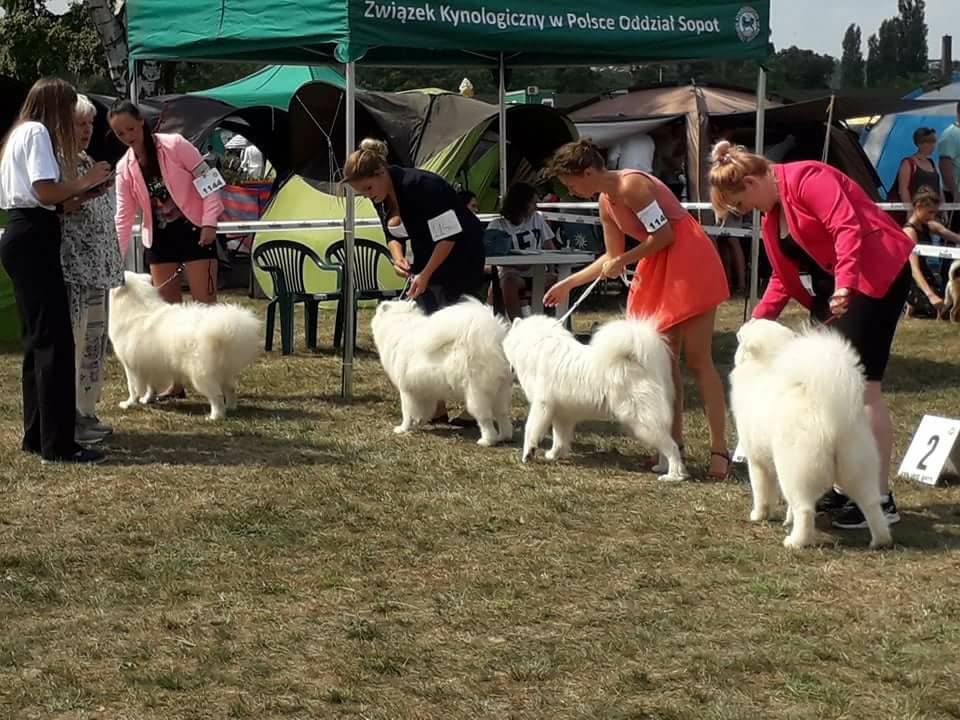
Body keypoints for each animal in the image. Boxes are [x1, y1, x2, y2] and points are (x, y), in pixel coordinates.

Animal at [109, 272, 262, 422]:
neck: (135, 309)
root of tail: (224, 331)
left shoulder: (131, 366)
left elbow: (133, 388)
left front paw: (129, 403)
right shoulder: (150, 365)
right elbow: (151, 386)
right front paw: (147, 399)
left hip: (201, 375)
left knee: (217, 396)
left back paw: (214, 416)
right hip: (224, 372)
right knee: (230, 389)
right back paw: (231, 407)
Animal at [372, 296, 512, 444]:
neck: (400, 323)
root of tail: (492, 341)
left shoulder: (406, 390)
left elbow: (407, 413)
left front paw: (403, 429)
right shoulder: (424, 391)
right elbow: (425, 410)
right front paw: (420, 422)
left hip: (476, 394)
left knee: (485, 419)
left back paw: (487, 440)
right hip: (500, 391)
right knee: (503, 416)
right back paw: (504, 436)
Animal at [502, 314, 684, 478]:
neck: (537, 346)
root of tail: (639, 363)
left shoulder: (542, 405)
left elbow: (530, 430)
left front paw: (527, 455)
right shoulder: (562, 414)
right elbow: (559, 438)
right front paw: (554, 455)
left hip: (641, 422)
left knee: (672, 447)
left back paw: (673, 475)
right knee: (666, 447)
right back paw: (661, 468)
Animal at [728, 318, 892, 548]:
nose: (747, 320)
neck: (763, 365)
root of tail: (828, 413)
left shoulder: (757, 460)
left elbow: (761, 492)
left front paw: (759, 515)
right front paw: (787, 520)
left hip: (794, 469)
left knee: (804, 509)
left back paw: (795, 542)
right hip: (858, 467)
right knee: (871, 505)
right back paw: (881, 540)